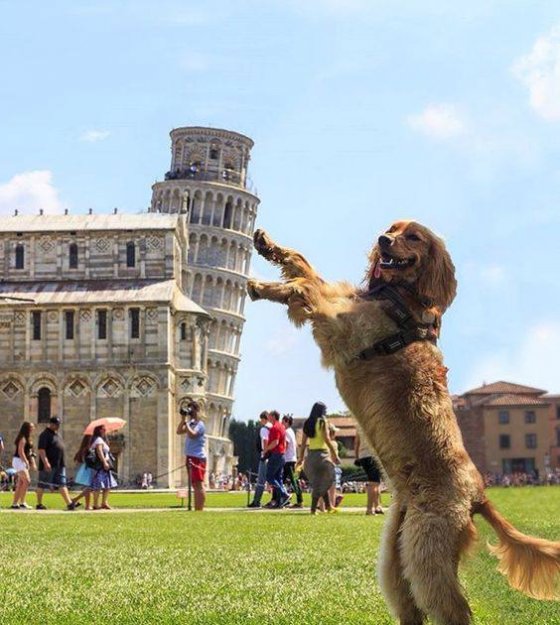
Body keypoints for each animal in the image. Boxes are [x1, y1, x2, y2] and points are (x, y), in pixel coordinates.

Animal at [248, 221, 560, 624]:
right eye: (391, 228)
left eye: (413, 236)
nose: (383, 240)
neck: (399, 299)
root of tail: (479, 495)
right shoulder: (340, 303)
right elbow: (303, 266)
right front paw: (268, 248)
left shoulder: (339, 323)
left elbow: (305, 285)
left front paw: (262, 286)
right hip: (396, 556)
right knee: (411, 606)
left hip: (426, 552)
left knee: (453, 610)